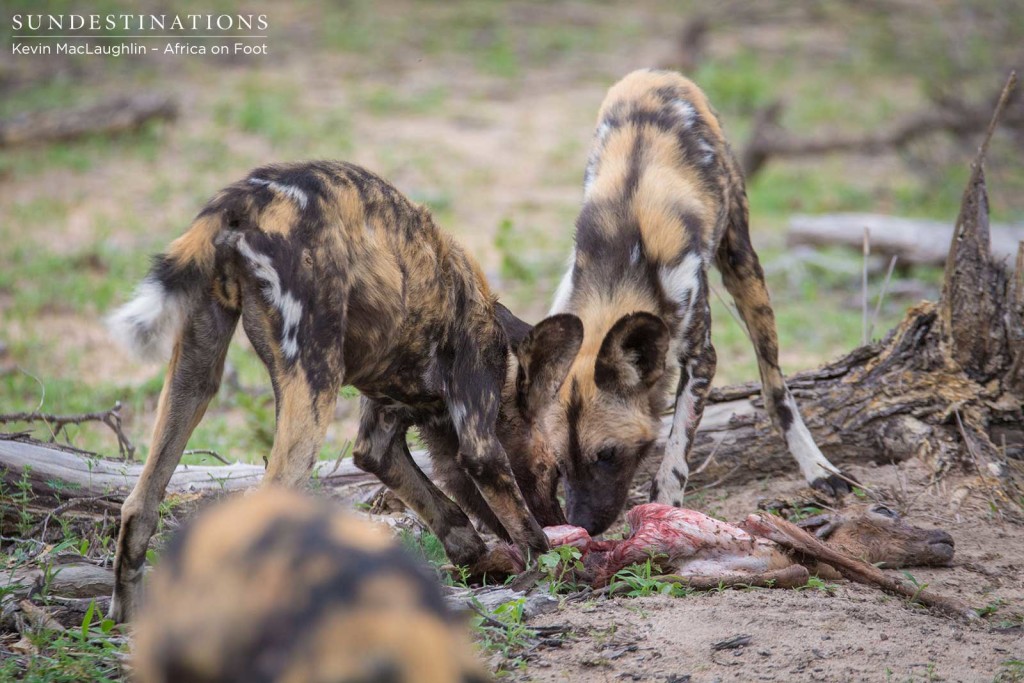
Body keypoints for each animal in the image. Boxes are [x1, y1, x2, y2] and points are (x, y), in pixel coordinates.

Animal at [108, 162, 585, 622]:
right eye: (551, 470)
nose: (562, 520)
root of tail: (245, 197)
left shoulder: (380, 438)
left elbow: (442, 508)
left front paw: (475, 557)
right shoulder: (480, 438)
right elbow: (521, 523)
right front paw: (554, 566)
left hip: (197, 372)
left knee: (140, 503)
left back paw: (127, 619)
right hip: (315, 389)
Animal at [548, 70, 851, 540]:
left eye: (608, 455)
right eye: (562, 464)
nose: (583, 524)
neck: (620, 270)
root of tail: (657, 74)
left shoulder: (702, 360)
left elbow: (674, 457)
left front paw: (665, 512)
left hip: (745, 269)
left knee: (775, 387)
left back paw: (818, 468)